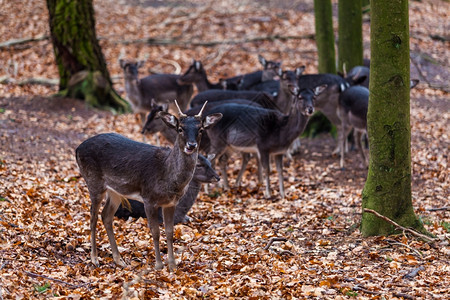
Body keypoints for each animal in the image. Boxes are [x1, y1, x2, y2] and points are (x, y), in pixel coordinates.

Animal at [76, 101, 223, 272]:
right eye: (180, 129)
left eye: (200, 129)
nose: (191, 145)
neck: (168, 176)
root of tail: (77, 149)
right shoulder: (149, 198)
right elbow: (155, 232)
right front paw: (159, 265)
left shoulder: (171, 203)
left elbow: (170, 232)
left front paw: (173, 265)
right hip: (94, 181)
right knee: (92, 217)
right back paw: (95, 259)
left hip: (115, 191)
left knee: (106, 216)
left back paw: (119, 260)